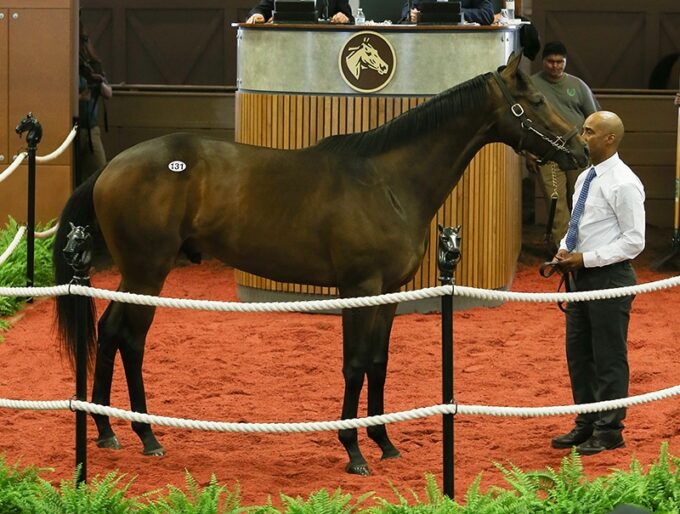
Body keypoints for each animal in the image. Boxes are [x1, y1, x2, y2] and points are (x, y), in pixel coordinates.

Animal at [53, 51, 588, 472]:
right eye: (537, 102)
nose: (581, 147)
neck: (390, 181)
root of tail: (111, 165)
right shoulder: (358, 288)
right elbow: (354, 364)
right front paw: (353, 450)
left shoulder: (389, 293)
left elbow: (378, 363)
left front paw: (384, 442)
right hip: (147, 272)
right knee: (127, 338)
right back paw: (144, 435)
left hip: (138, 274)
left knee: (111, 332)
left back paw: (109, 430)